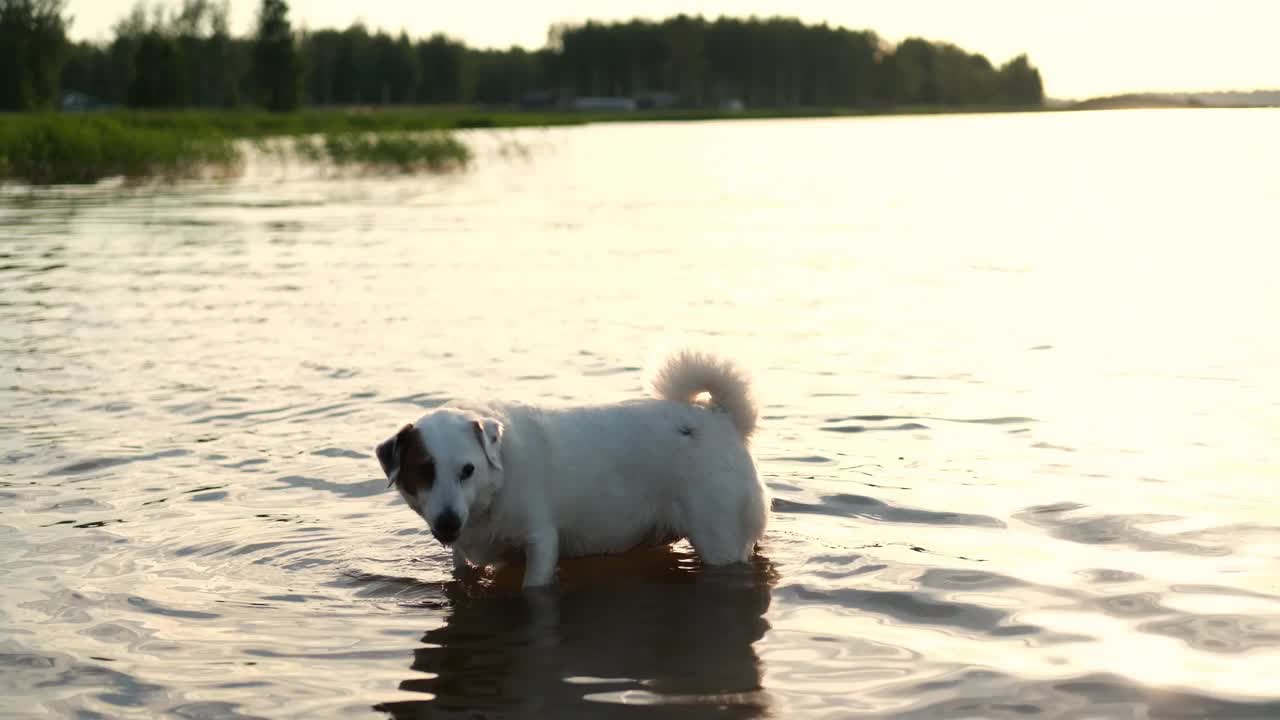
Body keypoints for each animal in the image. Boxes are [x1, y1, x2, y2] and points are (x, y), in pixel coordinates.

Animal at [373, 351, 768, 586]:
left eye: (468, 469)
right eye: (423, 471)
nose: (448, 523)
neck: (498, 480)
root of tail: (721, 418)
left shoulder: (540, 543)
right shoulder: (463, 552)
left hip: (720, 541)